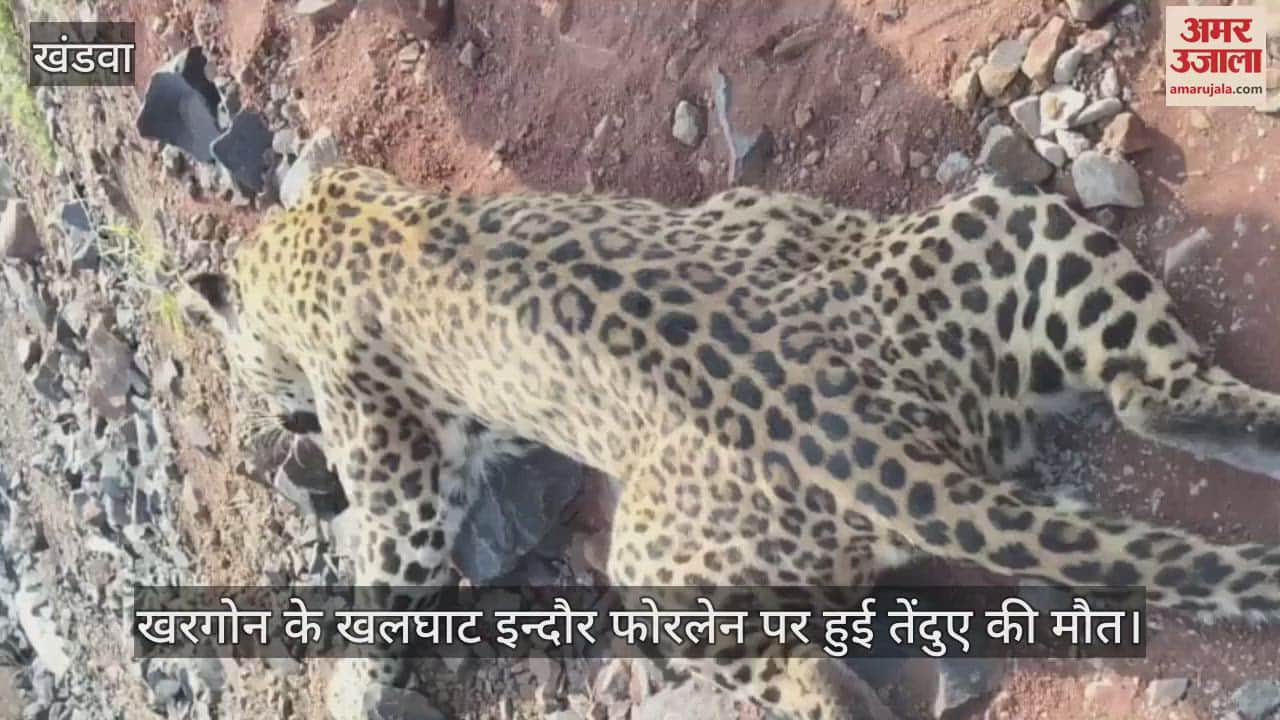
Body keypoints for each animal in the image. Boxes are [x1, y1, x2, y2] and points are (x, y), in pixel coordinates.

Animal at [184, 163, 1280, 720]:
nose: (288, 431)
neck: (295, 240)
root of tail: (872, 445)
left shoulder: (398, 471)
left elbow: (380, 580)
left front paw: (348, 687)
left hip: (645, 573)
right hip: (1009, 224)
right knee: (1156, 398)